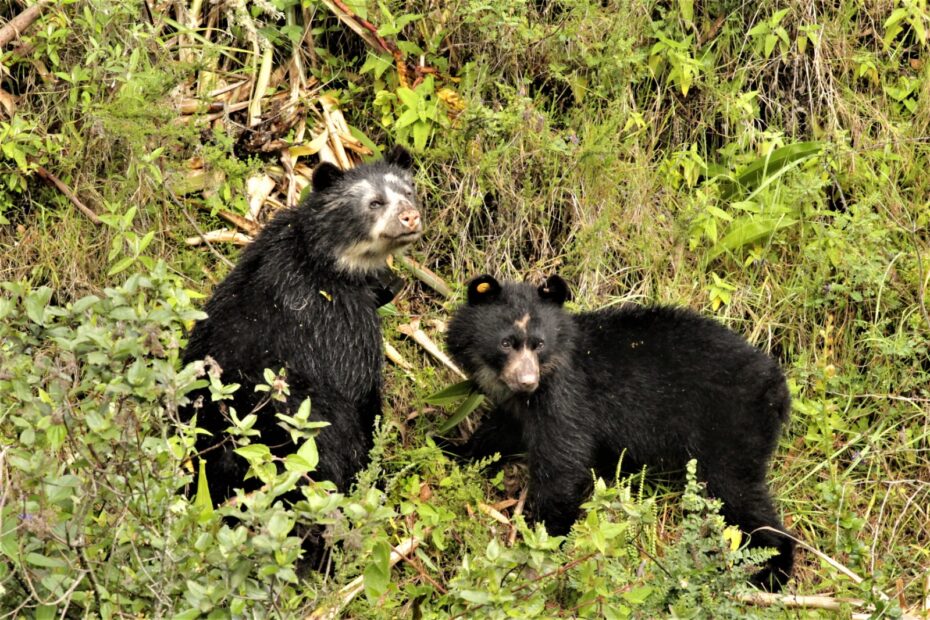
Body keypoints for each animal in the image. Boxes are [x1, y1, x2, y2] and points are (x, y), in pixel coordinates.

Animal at [181, 149, 420, 504]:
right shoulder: (339, 321)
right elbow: (362, 389)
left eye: (408, 191)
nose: (410, 217)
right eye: (375, 202)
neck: (330, 260)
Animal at [446, 274, 792, 592]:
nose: (527, 381)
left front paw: (541, 544)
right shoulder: (519, 408)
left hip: (729, 427)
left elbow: (563, 464)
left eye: (539, 344)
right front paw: (452, 449)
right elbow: (498, 433)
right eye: (506, 343)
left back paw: (772, 571)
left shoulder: (567, 397)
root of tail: (777, 387)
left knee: (738, 492)